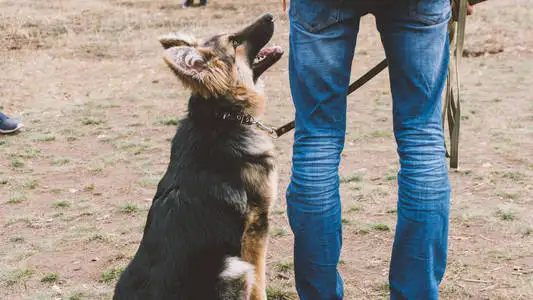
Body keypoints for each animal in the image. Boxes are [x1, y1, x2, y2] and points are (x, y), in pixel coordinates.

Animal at [113, 14, 282, 300]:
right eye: (234, 42)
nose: (270, 16)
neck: (223, 116)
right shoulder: (256, 228)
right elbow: (260, 285)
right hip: (233, 267)